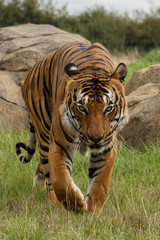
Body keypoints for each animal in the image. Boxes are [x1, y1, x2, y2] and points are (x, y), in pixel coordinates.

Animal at [15, 41, 129, 212]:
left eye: (108, 108)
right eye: (82, 108)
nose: (96, 138)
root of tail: (30, 72)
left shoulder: (107, 148)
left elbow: (100, 182)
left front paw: (93, 211)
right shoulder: (58, 143)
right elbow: (60, 180)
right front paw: (77, 206)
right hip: (44, 134)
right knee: (48, 172)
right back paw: (54, 203)